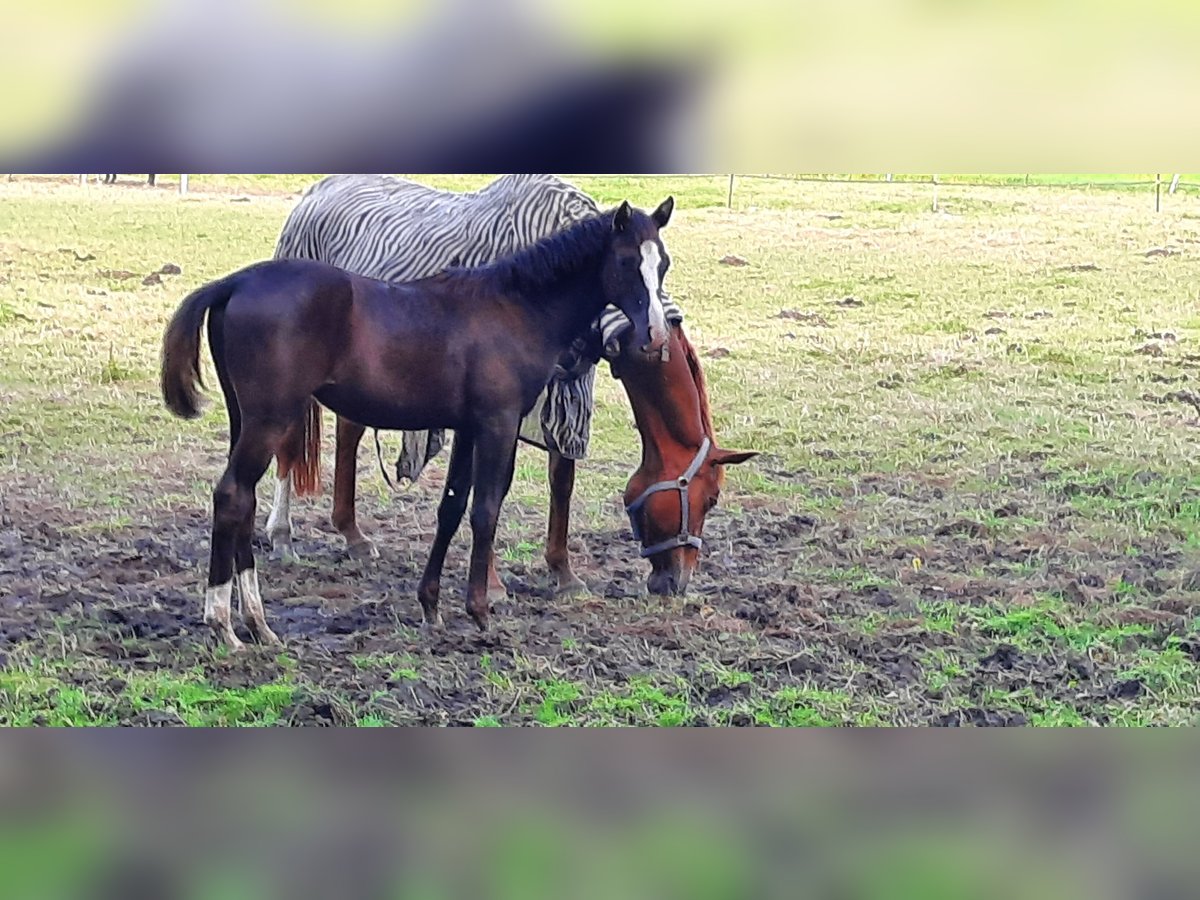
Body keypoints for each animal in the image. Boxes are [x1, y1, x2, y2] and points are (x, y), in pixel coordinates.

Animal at [160, 199, 672, 648]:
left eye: (662, 263)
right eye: (627, 262)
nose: (655, 335)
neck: (514, 308)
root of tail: (236, 282)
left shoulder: (467, 428)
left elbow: (451, 508)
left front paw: (430, 605)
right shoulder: (498, 424)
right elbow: (485, 510)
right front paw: (480, 610)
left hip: (244, 420)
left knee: (243, 500)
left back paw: (257, 623)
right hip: (270, 420)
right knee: (232, 496)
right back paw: (223, 623)